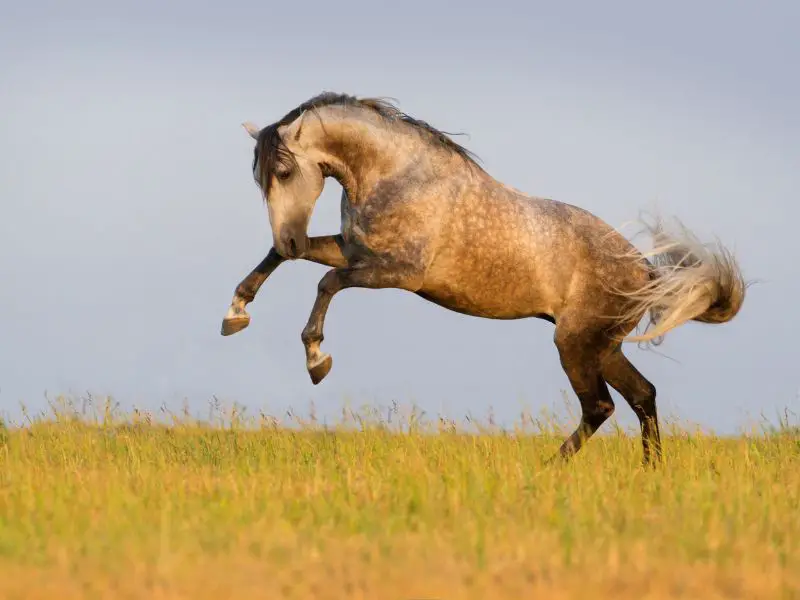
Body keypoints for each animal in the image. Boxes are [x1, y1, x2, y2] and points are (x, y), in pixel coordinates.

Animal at [217, 90, 744, 464]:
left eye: (285, 171)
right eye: (260, 178)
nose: (288, 234)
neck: (397, 176)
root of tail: (645, 269)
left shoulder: (399, 272)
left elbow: (326, 283)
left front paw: (317, 359)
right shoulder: (354, 251)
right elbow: (286, 261)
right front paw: (235, 314)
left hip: (576, 344)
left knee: (600, 407)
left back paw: (545, 472)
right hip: (602, 345)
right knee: (641, 396)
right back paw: (649, 474)